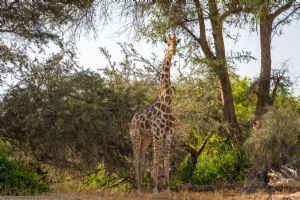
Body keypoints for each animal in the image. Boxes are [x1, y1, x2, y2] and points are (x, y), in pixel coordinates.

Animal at [129, 33, 177, 194]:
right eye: (168, 43)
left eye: (176, 43)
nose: (173, 51)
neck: (167, 101)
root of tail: (131, 121)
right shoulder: (157, 132)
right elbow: (156, 160)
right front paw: (156, 189)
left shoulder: (168, 132)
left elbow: (166, 160)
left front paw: (167, 189)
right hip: (136, 136)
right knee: (135, 160)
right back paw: (139, 190)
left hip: (146, 138)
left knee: (141, 159)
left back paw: (142, 187)